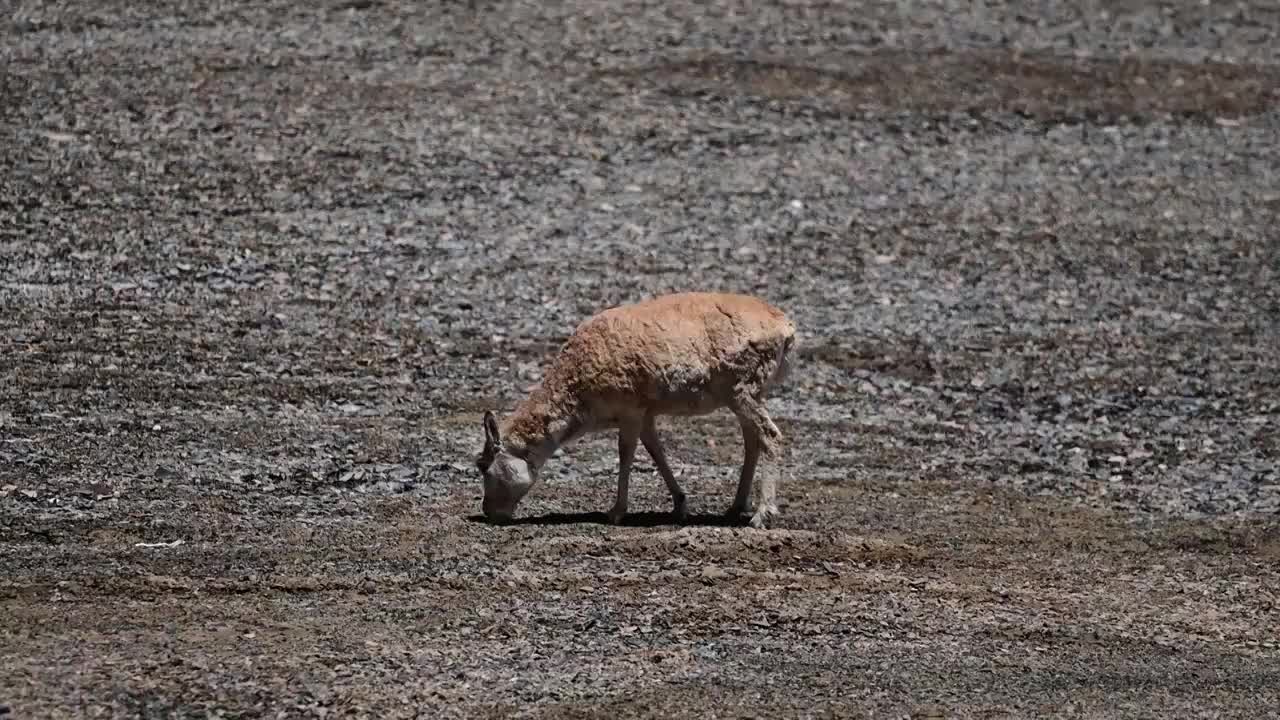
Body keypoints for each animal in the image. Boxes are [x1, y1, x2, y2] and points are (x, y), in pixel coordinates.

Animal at [476, 286, 793, 527]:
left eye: (482, 465)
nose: (488, 512)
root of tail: (786, 327)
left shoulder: (630, 410)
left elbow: (626, 454)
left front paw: (616, 512)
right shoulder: (646, 414)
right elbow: (655, 450)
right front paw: (680, 504)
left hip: (744, 391)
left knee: (770, 435)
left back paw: (761, 515)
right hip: (744, 396)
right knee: (752, 440)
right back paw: (736, 507)